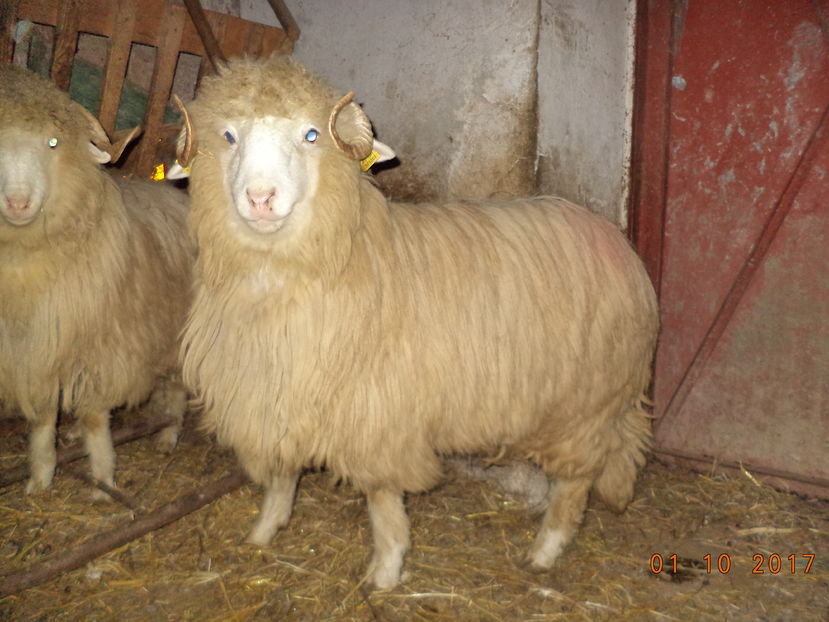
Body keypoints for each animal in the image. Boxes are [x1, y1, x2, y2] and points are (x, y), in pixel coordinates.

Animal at [0, 64, 193, 497]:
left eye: (53, 143)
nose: (17, 203)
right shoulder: (36, 349)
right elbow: (42, 417)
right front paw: (41, 475)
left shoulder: (102, 349)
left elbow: (94, 416)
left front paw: (103, 477)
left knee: (177, 385)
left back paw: (168, 434)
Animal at [176, 56, 659, 589]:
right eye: (228, 135)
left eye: (310, 135)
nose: (261, 197)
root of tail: (614, 239)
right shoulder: (279, 395)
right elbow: (283, 476)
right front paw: (265, 530)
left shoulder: (379, 416)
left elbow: (382, 500)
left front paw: (386, 570)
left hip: (585, 403)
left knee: (575, 481)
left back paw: (545, 549)